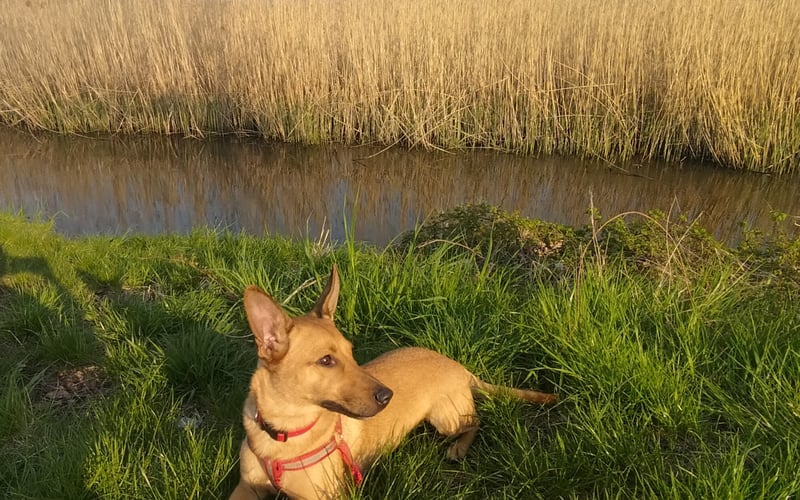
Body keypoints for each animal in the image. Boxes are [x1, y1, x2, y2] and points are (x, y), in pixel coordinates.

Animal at [231, 264, 556, 498]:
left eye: (351, 353)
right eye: (326, 361)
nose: (387, 396)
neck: (283, 432)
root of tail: (460, 368)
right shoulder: (246, 487)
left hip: (446, 418)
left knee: (476, 421)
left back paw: (459, 448)